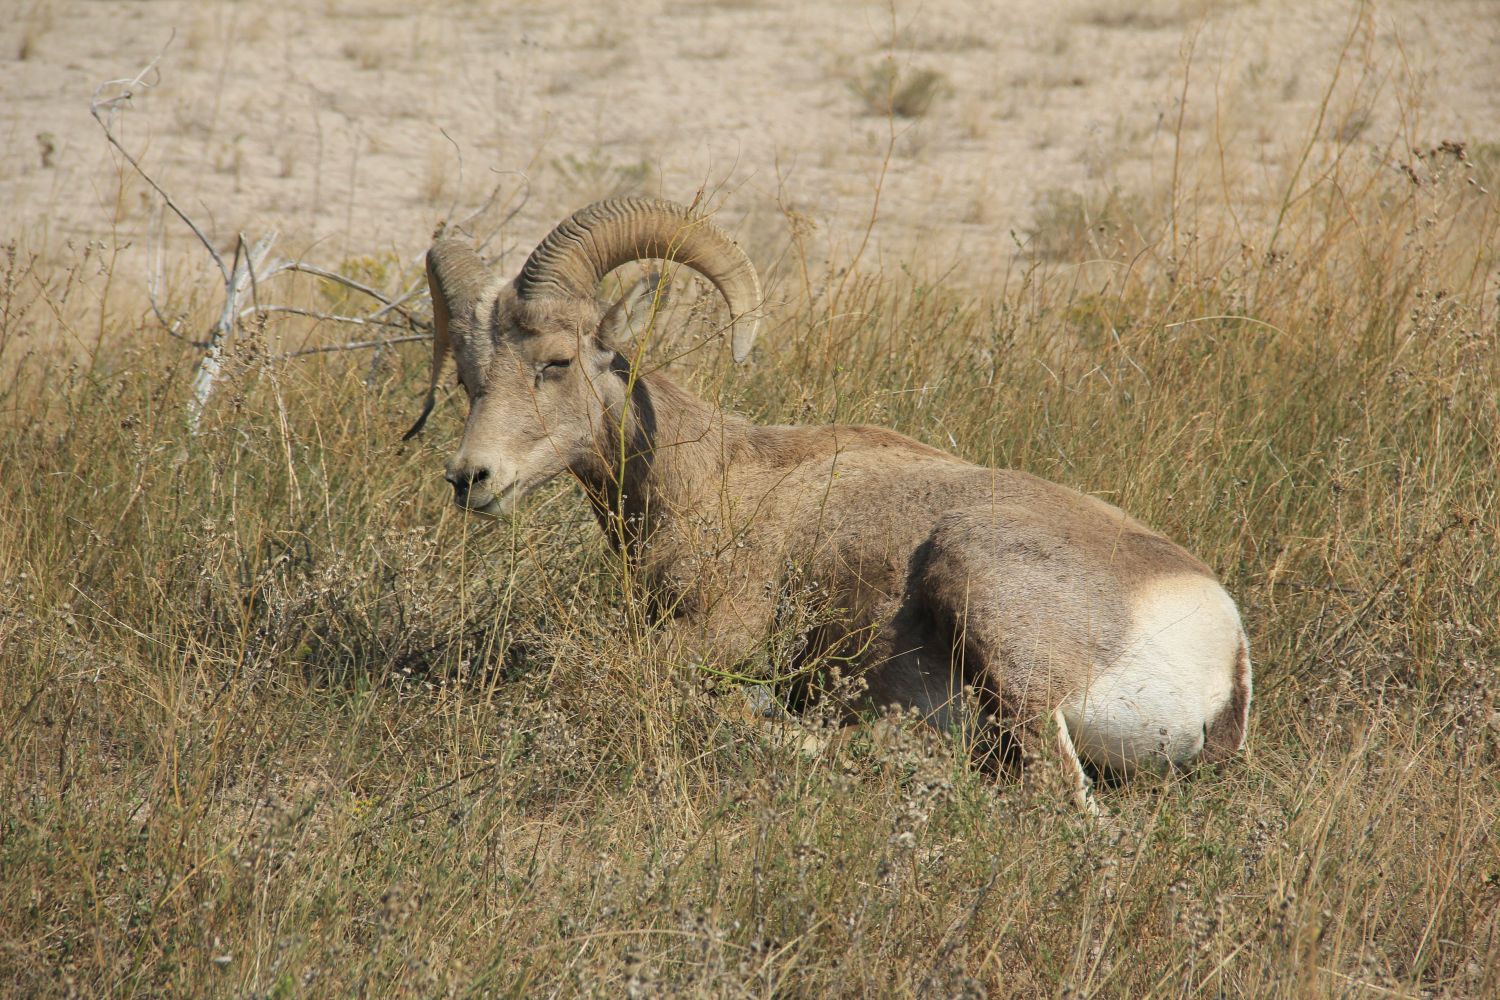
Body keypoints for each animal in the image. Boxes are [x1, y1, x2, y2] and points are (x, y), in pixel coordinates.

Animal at [405, 197, 1248, 803]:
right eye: (468, 380)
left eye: (554, 362)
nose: (471, 478)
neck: (715, 481)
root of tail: (1223, 649)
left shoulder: (720, 632)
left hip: (991, 609)